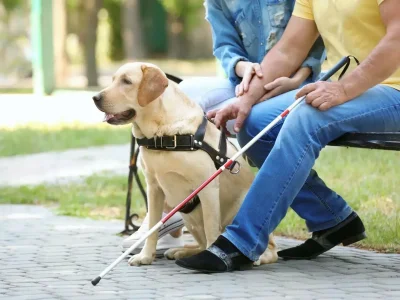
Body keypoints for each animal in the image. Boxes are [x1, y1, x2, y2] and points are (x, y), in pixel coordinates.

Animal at [92, 62, 276, 266]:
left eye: (126, 81)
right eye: (113, 80)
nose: (95, 97)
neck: (161, 134)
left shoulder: (208, 187)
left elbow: (212, 229)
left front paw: (211, 257)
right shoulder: (154, 188)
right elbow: (153, 226)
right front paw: (146, 256)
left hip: (240, 208)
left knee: (267, 248)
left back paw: (258, 257)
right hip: (189, 217)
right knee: (201, 243)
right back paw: (181, 251)